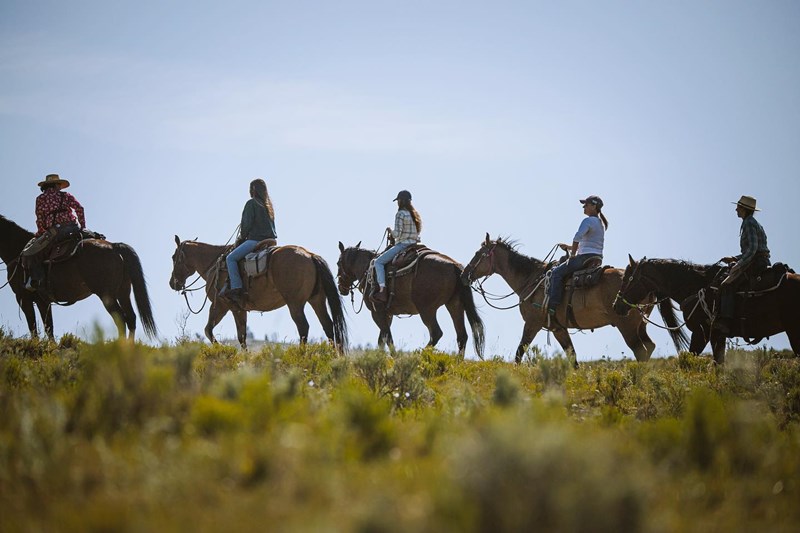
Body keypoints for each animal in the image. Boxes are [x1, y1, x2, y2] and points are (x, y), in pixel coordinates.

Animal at [0, 214, 158, 338]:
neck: (17, 252)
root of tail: (114, 246)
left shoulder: (24, 299)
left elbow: (35, 327)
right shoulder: (42, 301)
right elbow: (48, 327)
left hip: (106, 295)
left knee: (121, 319)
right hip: (123, 292)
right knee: (131, 318)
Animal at [169, 236, 346, 352]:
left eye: (173, 257)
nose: (172, 283)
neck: (214, 265)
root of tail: (309, 255)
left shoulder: (224, 306)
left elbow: (214, 331)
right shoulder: (235, 308)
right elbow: (238, 336)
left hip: (295, 304)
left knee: (303, 327)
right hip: (317, 300)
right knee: (328, 325)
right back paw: (335, 356)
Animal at [334, 241, 484, 358]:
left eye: (338, 263)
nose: (341, 287)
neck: (367, 270)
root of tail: (454, 266)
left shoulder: (377, 312)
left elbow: (387, 337)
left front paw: (394, 357)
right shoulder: (387, 314)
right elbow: (382, 339)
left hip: (427, 310)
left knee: (436, 333)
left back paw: (420, 355)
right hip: (454, 305)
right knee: (462, 336)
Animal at [460, 235, 660, 364]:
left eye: (478, 254)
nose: (464, 274)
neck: (532, 279)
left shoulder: (532, 324)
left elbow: (519, 353)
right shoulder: (558, 329)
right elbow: (572, 357)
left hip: (626, 326)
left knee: (641, 351)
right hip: (640, 325)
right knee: (649, 347)